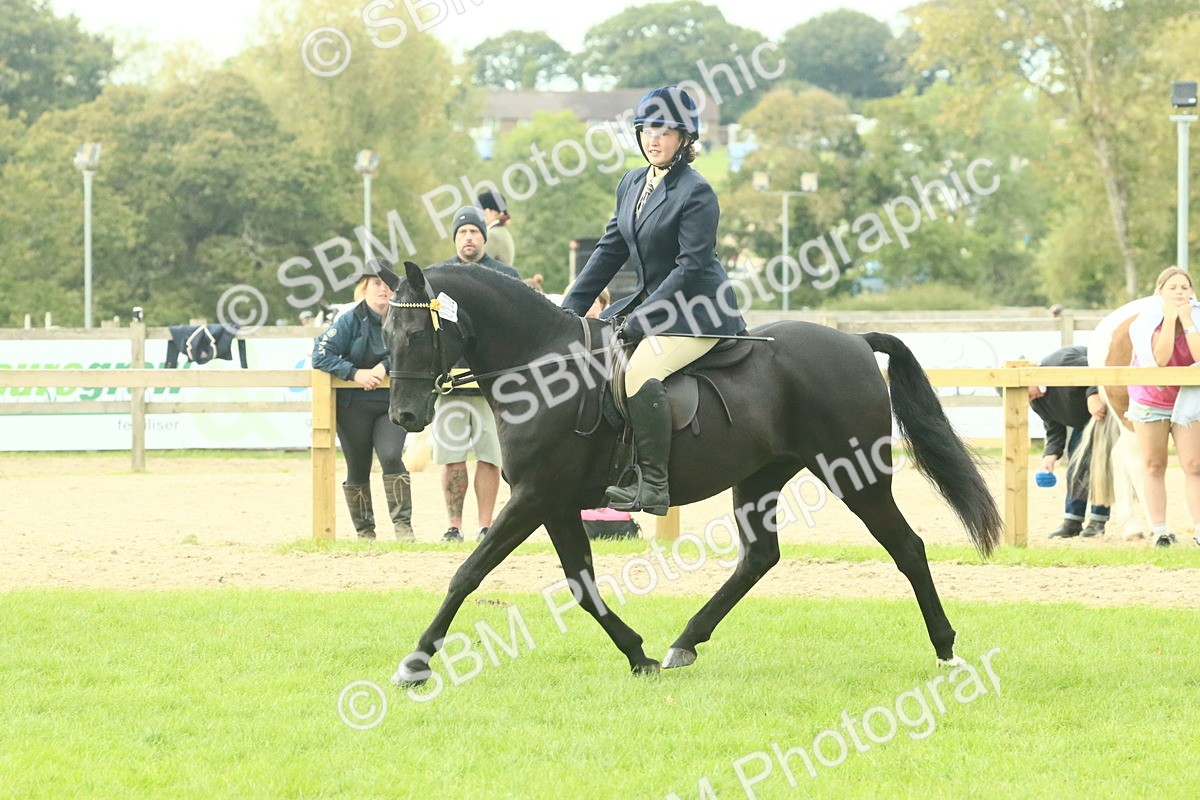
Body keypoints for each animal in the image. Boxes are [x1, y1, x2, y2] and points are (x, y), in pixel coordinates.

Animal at [379, 260, 1003, 683]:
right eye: (384, 334)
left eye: (416, 335)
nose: (403, 416)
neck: (541, 367)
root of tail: (853, 340)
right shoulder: (552, 501)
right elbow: (581, 583)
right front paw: (639, 654)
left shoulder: (533, 497)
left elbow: (468, 573)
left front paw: (416, 661)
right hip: (761, 477)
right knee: (759, 558)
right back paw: (685, 642)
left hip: (855, 475)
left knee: (908, 548)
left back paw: (946, 648)